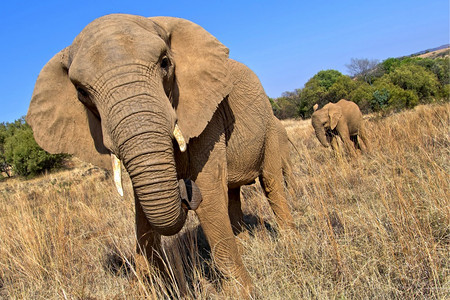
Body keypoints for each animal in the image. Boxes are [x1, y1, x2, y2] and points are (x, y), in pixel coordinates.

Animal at [27, 13, 296, 296]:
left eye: (165, 63)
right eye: (81, 92)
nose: (183, 189)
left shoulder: (208, 113)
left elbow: (210, 193)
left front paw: (241, 292)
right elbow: (143, 215)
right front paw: (141, 288)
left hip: (270, 127)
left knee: (271, 183)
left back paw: (290, 242)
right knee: (232, 194)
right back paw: (245, 242)